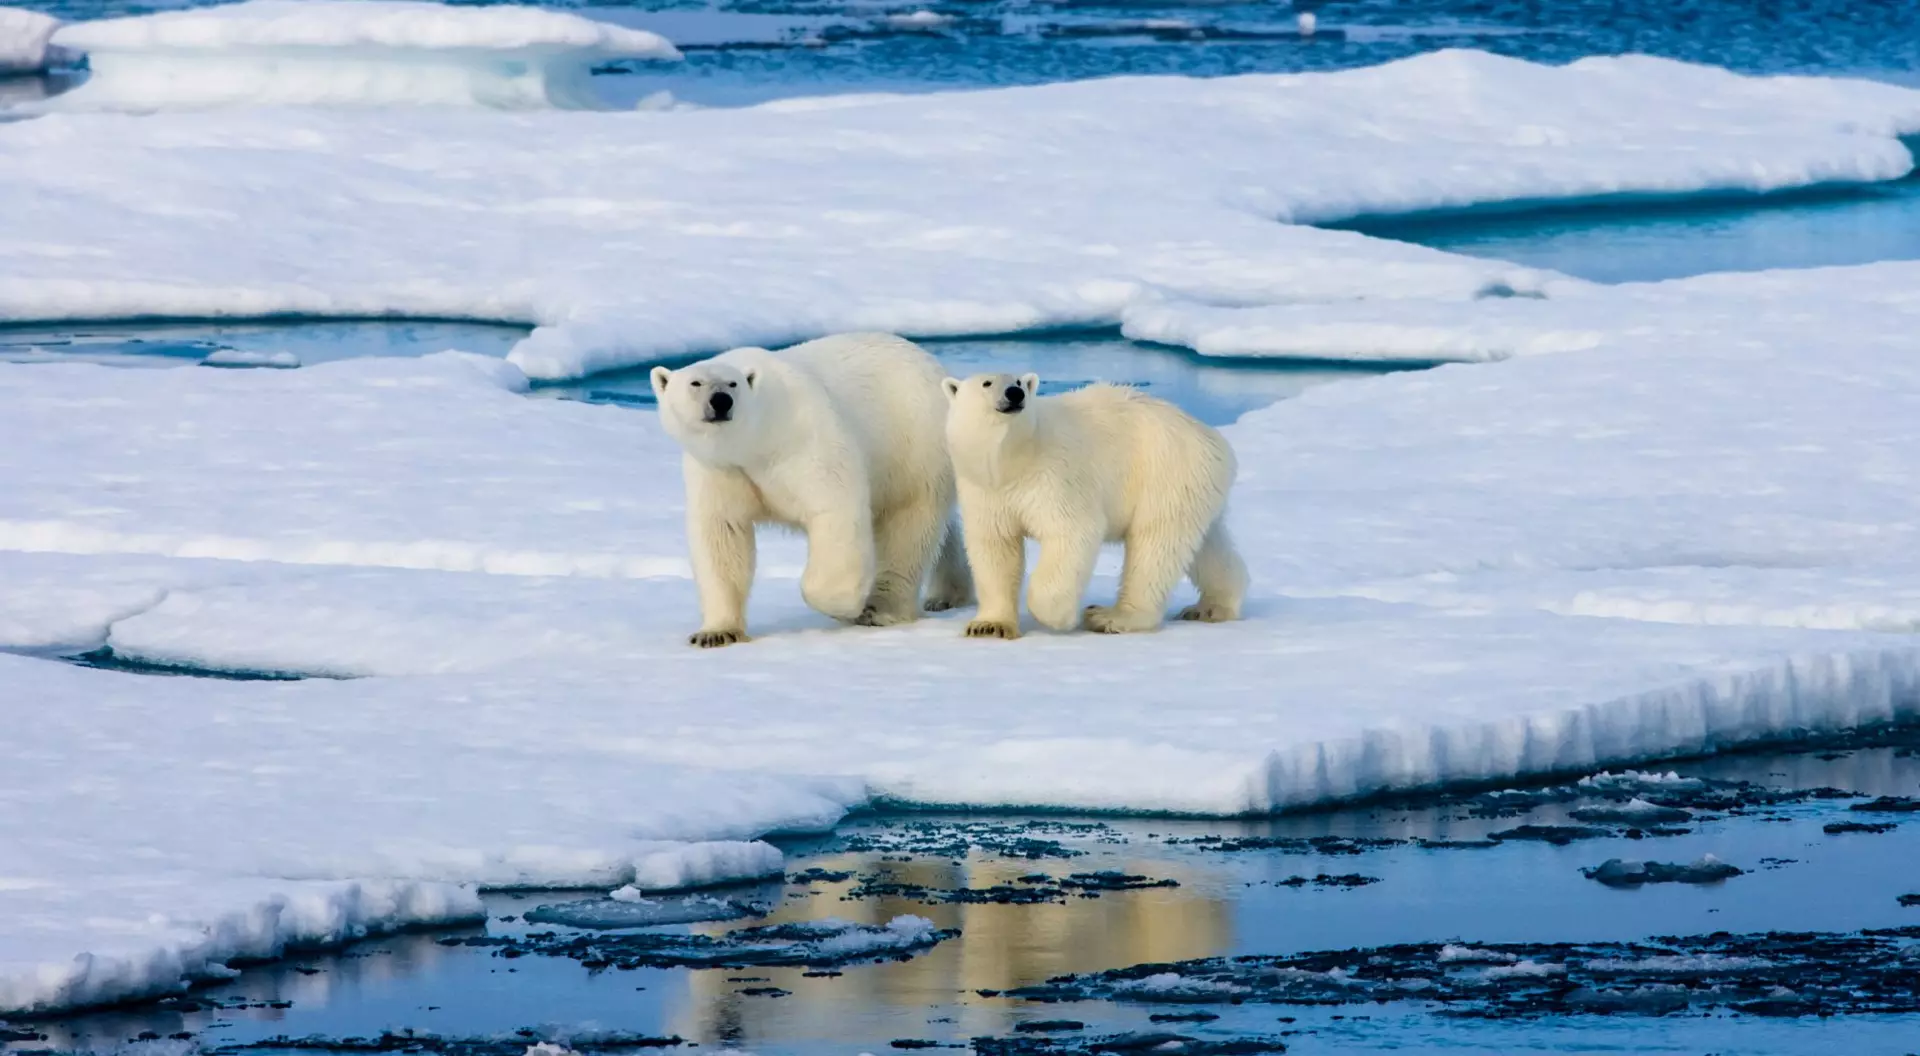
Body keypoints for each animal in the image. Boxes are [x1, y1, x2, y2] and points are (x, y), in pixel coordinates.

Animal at [653, 333, 973, 647]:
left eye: (733, 383)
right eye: (695, 383)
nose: (721, 401)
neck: (757, 441)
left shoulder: (804, 441)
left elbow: (834, 510)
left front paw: (847, 607)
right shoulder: (719, 469)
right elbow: (722, 534)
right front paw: (715, 633)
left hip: (913, 445)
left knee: (907, 525)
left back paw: (880, 608)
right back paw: (947, 594)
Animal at [941, 372, 1247, 638]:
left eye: (1018, 381)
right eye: (987, 382)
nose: (1014, 394)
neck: (1013, 461)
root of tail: (1213, 439)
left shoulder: (1054, 476)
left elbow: (1073, 531)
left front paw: (1058, 617)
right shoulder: (986, 491)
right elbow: (994, 547)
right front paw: (988, 626)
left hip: (1165, 474)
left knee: (1154, 546)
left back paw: (1110, 617)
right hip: (1194, 487)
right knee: (1205, 545)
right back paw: (1212, 607)